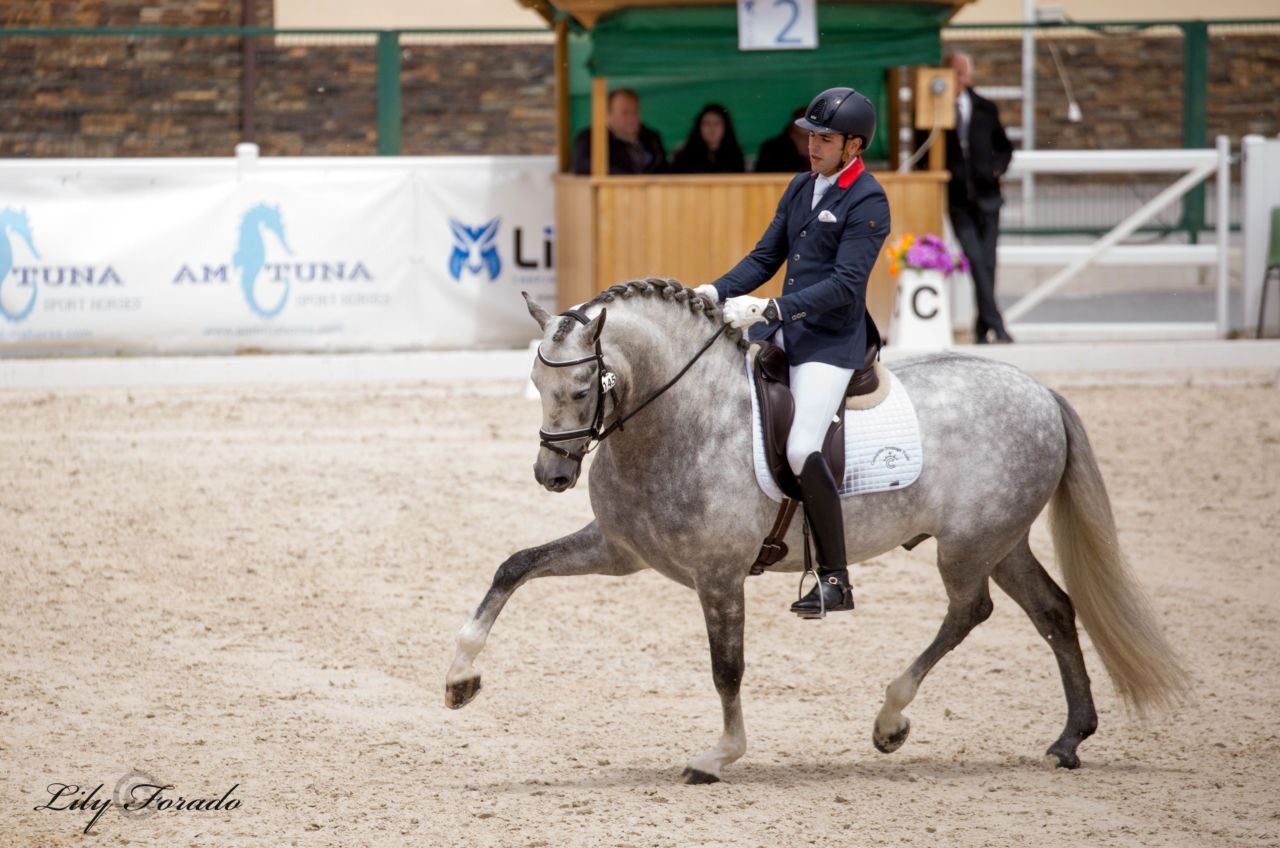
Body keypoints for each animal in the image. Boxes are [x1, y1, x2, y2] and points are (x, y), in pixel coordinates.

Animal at [450, 281, 1187, 789]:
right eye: (534, 380)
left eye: (582, 386)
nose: (551, 473)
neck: (681, 418)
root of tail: (1040, 392)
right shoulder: (618, 551)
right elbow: (514, 566)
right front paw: (461, 678)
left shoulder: (719, 575)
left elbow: (726, 666)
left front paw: (719, 756)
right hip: (1001, 542)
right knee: (1053, 610)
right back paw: (1069, 740)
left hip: (970, 545)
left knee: (970, 610)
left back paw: (890, 721)